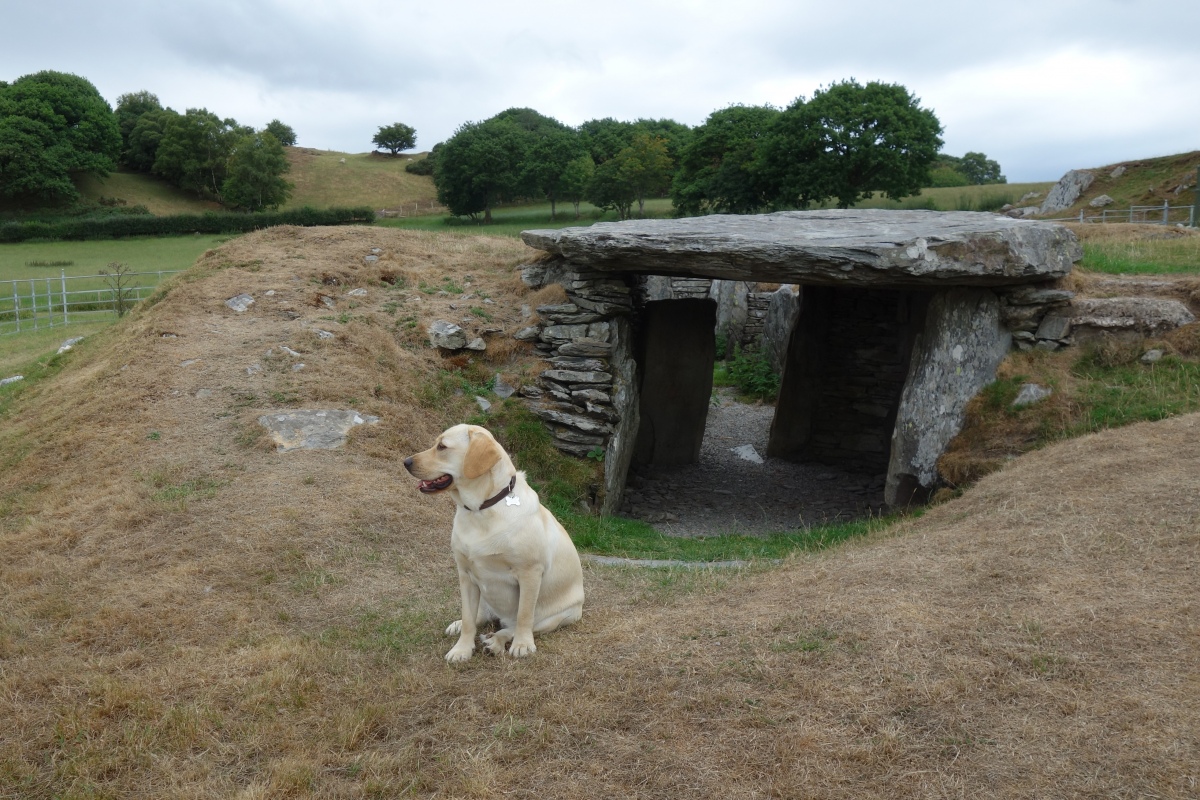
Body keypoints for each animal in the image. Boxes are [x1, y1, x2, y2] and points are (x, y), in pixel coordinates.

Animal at [405, 422, 583, 662]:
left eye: (442, 446)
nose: (406, 462)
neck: (481, 509)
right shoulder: (465, 575)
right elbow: (469, 619)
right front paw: (461, 649)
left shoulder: (530, 573)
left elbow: (524, 617)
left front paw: (523, 645)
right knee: (479, 617)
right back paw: (461, 626)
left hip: (557, 617)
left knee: (512, 627)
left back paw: (496, 642)